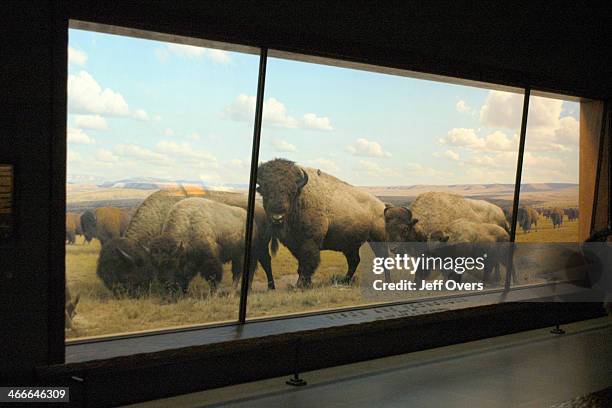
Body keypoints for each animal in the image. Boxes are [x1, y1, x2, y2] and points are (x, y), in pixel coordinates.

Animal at [255, 158, 388, 288]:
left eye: (291, 192)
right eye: (265, 191)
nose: (277, 217)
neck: (301, 198)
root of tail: (382, 205)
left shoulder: (310, 242)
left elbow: (307, 263)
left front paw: (300, 285)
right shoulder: (295, 245)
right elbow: (301, 265)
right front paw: (305, 284)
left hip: (377, 239)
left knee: (383, 258)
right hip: (350, 245)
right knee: (354, 261)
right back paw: (344, 280)